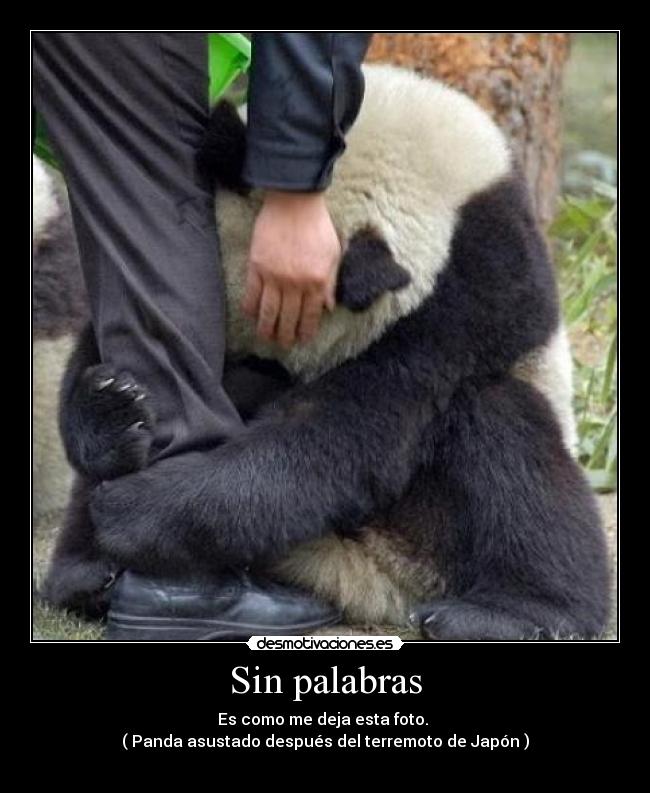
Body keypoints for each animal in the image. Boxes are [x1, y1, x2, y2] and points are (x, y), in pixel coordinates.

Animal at [40, 65, 608, 640]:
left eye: (271, 348)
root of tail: (357, 575)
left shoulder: (469, 294)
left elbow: (350, 427)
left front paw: (138, 508)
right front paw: (108, 409)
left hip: (434, 530)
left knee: (513, 445)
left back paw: (513, 612)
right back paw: (89, 574)